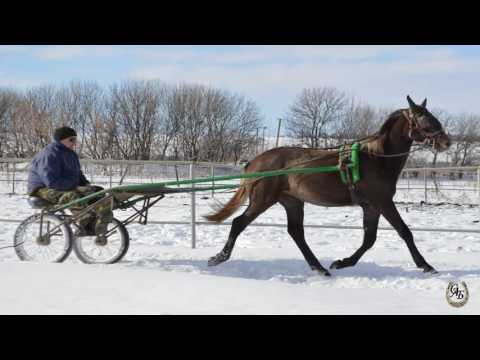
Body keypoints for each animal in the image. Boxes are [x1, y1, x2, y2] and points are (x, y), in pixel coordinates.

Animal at [204, 95, 452, 276]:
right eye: (424, 118)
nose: (446, 141)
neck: (376, 158)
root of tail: (255, 162)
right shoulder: (383, 202)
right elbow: (404, 232)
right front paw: (426, 265)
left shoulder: (372, 206)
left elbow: (369, 239)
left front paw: (342, 262)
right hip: (263, 199)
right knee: (238, 223)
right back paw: (219, 257)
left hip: (293, 202)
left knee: (296, 233)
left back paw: (319, 267)